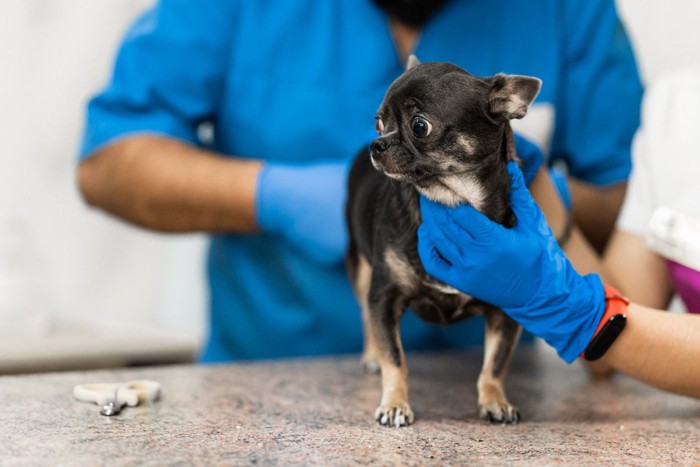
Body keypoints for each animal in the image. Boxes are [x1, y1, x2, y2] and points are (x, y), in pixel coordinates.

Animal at [344, 57, 540, 428]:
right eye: (379, 123)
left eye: (420, 126)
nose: (377, 144)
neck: (452, 202)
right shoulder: (384, 297)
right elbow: (395, 359)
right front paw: (395, 403)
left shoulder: (506, 312)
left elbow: (494, 365)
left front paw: (495, 401)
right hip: (360, 269)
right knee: (364, 315)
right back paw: (370, 355)